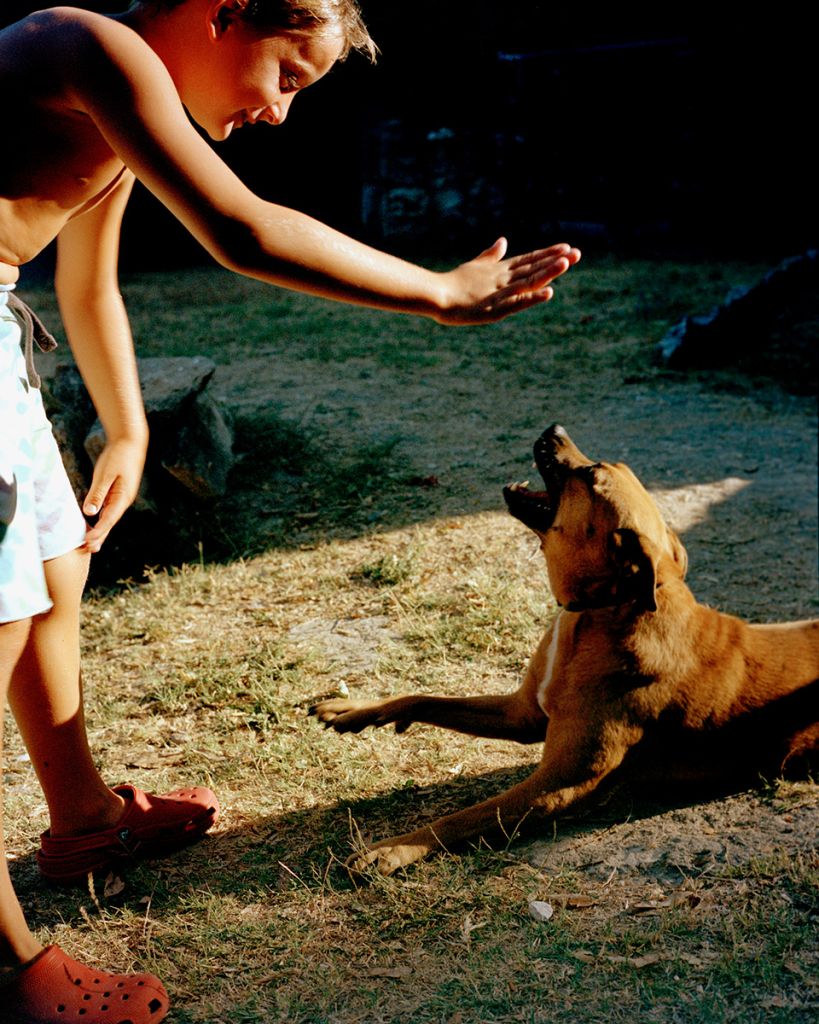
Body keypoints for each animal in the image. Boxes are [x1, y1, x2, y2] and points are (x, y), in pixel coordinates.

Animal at [309, 423, 818, 872]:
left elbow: (466, 816)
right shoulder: (521, 712)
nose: (556, 428)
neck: (604, 610)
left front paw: (393, 848)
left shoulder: (557, 786)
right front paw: (356, 709)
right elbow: (424, 696)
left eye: (591, 475)